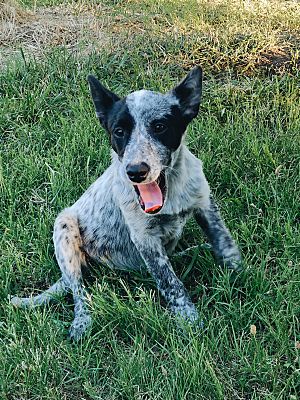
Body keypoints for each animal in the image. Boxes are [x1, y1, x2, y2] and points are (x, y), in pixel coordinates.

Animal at [10, 66, 243, 340]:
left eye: (160, 126)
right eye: (119, 132)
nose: (135, 171)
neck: (170, 191)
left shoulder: (205, 205)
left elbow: (224, 243)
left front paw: (241, 274)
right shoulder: (144, 238)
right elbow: (170, 282)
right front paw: (189, 321)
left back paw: (195, 251)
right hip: (64, 229)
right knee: (79, 289)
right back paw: (82, 321)